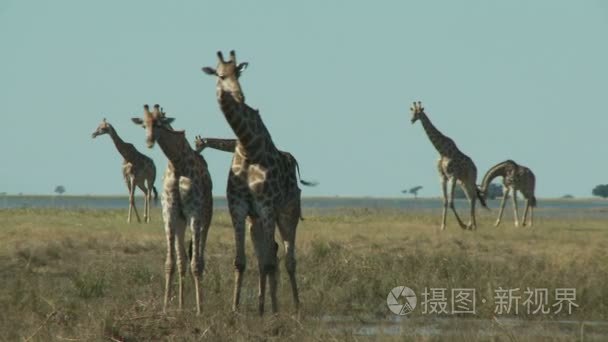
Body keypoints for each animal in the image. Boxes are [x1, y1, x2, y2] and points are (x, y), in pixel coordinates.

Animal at [129, 104, 213, 316]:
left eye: (159, 123)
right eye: (144, 124)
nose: (149, 142)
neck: (177, 162)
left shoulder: (194, 213)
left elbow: (195, 264)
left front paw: (200, 310)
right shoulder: (170, 214)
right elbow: (171, 262)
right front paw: (166, 307)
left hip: (206, 217)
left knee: (199, 258)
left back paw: (200, 304)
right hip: (181, 221)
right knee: (182, 259)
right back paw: (181, 305)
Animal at [202, 50, 302, 316]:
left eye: (238, 73)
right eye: (220, 75)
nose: (239, 95)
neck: (249, 148)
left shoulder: (267, 207)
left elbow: (269, 262)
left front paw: (274, 312)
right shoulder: (238, 208)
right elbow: (241, 262)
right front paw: (235, 309)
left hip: (287, 213)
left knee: (287, 259)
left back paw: (295, 306)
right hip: (255, 220)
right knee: (266, 255)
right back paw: (261, 305)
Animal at [410, 101, 486, 230]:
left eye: (418, 112)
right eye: (412, 111)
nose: (411, 120)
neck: (442, 151)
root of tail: (475, 167)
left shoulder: (452, 176)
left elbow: (450, 202)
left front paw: (462, 225)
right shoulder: (442, 177)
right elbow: (445, 202)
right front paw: (443, 226)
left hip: (470, 179)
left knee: (473, 197)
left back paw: (472, 225)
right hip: (463, 181)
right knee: (471, 198)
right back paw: (471, 225)